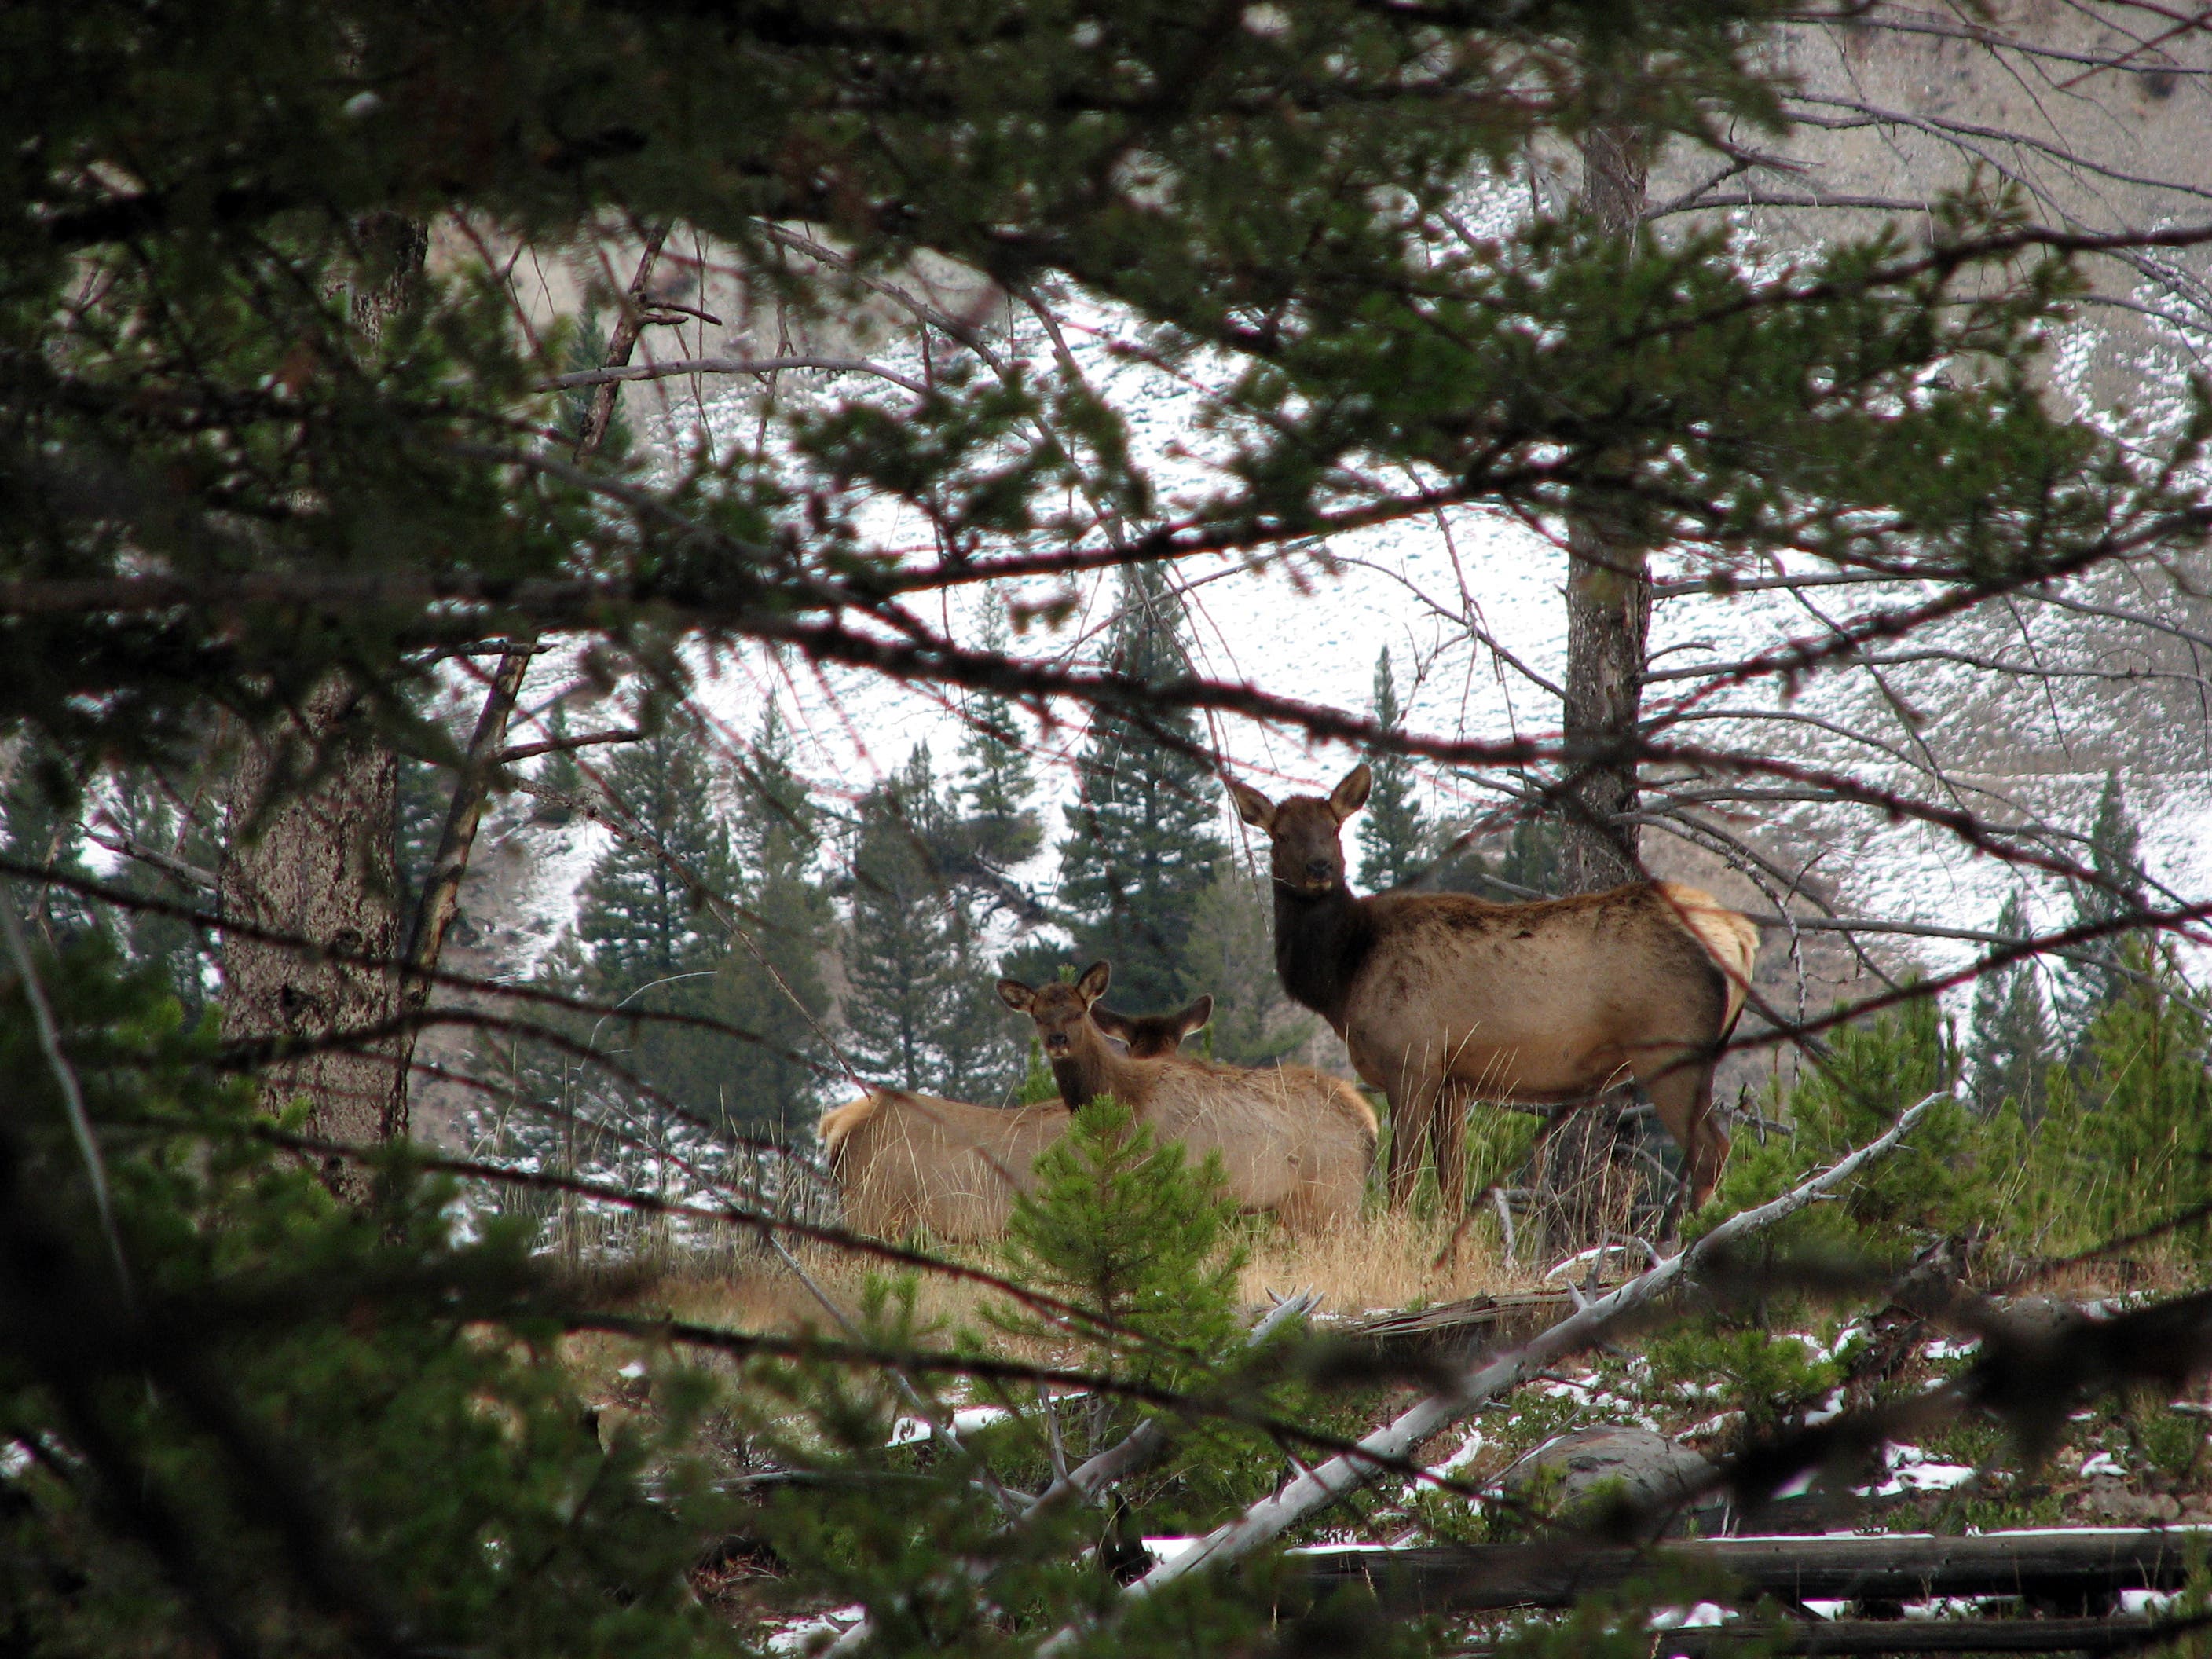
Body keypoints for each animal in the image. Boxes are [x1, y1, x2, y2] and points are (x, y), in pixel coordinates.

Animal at [996, 963, 1376, 1233]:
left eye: (1077, 1012)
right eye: (1038, 1017)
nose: (1057, 1040)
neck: (1126, 1104)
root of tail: (1368, 1121)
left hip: (1336, 1194)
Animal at [1227, 765, 1759, 1221]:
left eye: (1335, 827)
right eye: (1280, 833)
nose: (1320, 867)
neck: (1344, 977)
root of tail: (1741, 935)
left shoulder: (1412, 1060)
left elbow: (1402, 1181)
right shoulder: (1453, 1080)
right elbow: (1452, 1186)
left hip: (1670, 1046)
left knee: (1710, 1151)